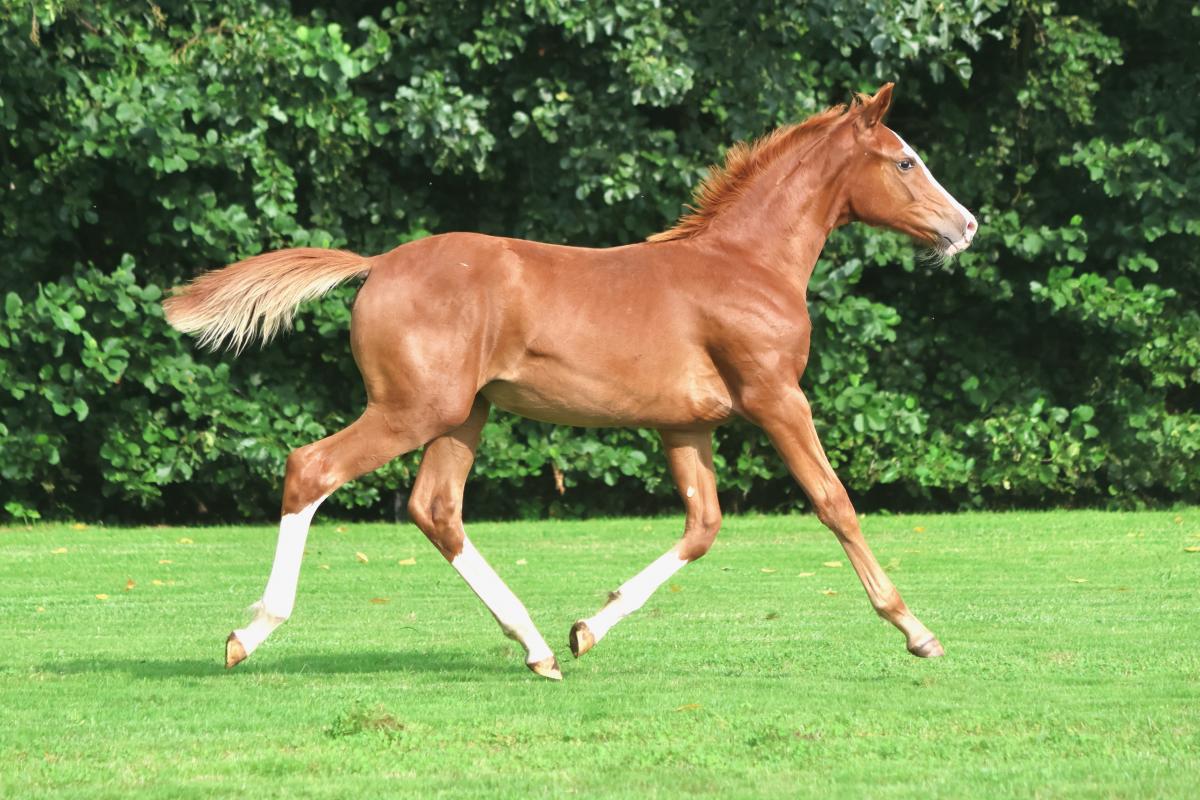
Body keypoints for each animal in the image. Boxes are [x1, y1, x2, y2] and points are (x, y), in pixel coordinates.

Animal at [164, 83, 978, 680]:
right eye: (905, 161)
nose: (966, 226)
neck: (745, 264)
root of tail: (377, 264)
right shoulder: (776, 397)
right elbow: (835, 503)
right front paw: (917, 631)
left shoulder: (685, 423)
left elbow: (703, 526)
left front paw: (588, 626)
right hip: (414, 409)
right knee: (313, 468)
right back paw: (250, 633)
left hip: (464, 415)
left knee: (436, 509)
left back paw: (537, 647)